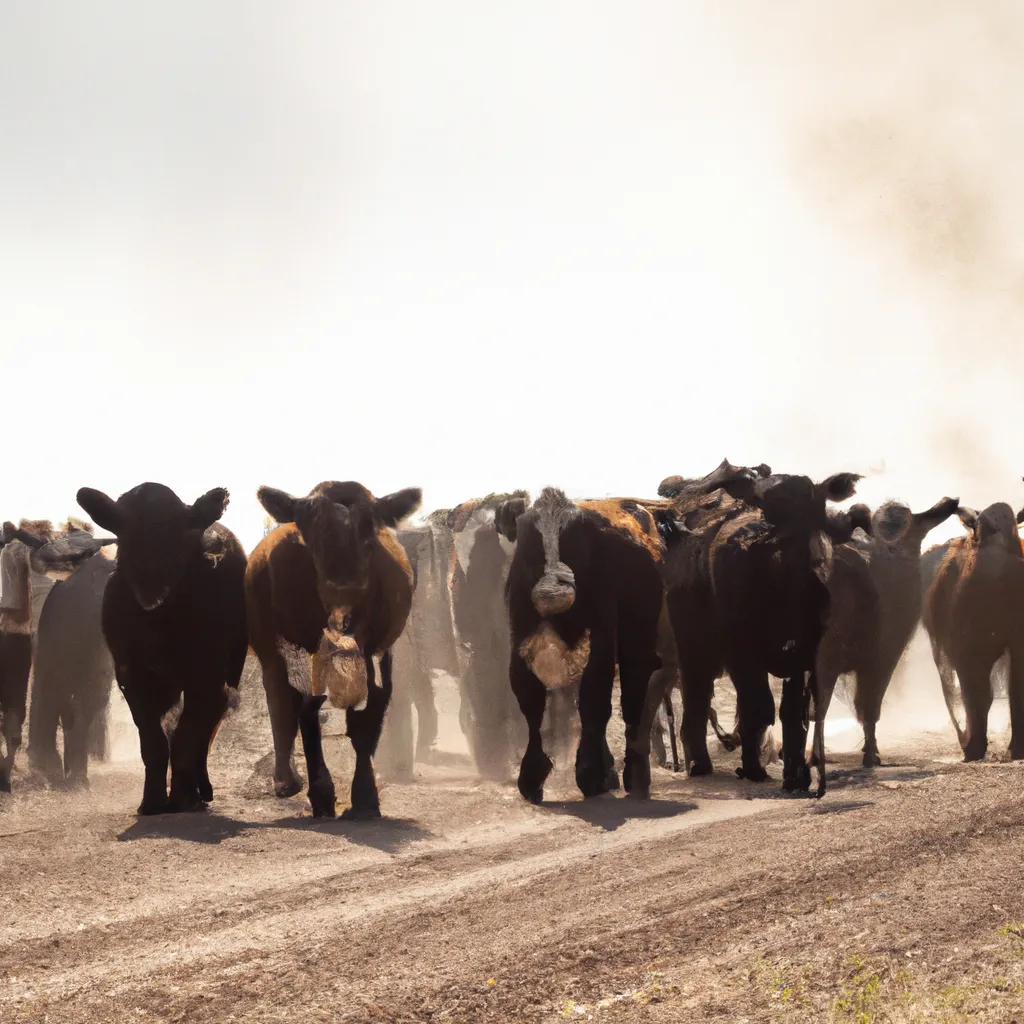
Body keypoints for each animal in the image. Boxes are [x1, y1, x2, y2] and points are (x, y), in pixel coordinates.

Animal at [246, 477, 419, 815]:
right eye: (314, 546)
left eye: (370, 542)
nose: (343, 610)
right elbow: (308, 709)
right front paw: (322, 792)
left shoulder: (378, 653)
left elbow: (369, 714)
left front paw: (365, 796)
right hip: (267, 641)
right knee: (280, 694)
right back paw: (287, 780)